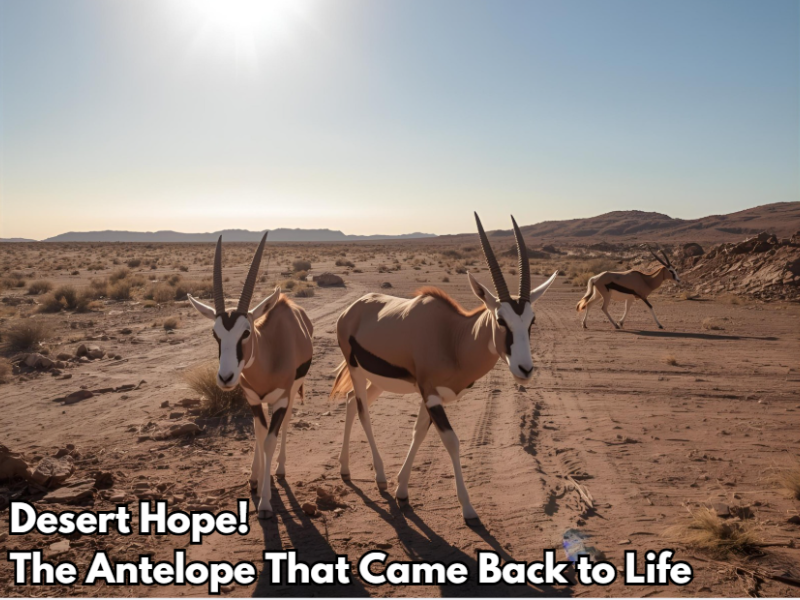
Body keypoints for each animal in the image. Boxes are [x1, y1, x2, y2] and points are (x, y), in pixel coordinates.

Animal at [187, 233, 313, 519]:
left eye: (246, 332)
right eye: (215, 333)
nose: (225, 377)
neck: (269, 353)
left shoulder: (281, 398)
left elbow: (270, 440)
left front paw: (266, 503)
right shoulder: (253, 399)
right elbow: (258, 433)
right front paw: (256, 482)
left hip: (292, 392)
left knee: (285, 424)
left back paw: (280, 469)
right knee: (261, 429)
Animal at [329, 213, 558, 526]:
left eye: (531, 320)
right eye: (501, 319)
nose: (525, 369)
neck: (453, 337)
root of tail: (350, 311)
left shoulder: (429, 395)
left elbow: (418, 433)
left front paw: (403, 492)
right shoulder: (431, 395)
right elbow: (451, 441)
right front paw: (468, 509)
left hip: (377, 379)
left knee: (352, 401)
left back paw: (345, 468)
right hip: (356, 369)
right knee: (362, 410)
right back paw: (379, 476)